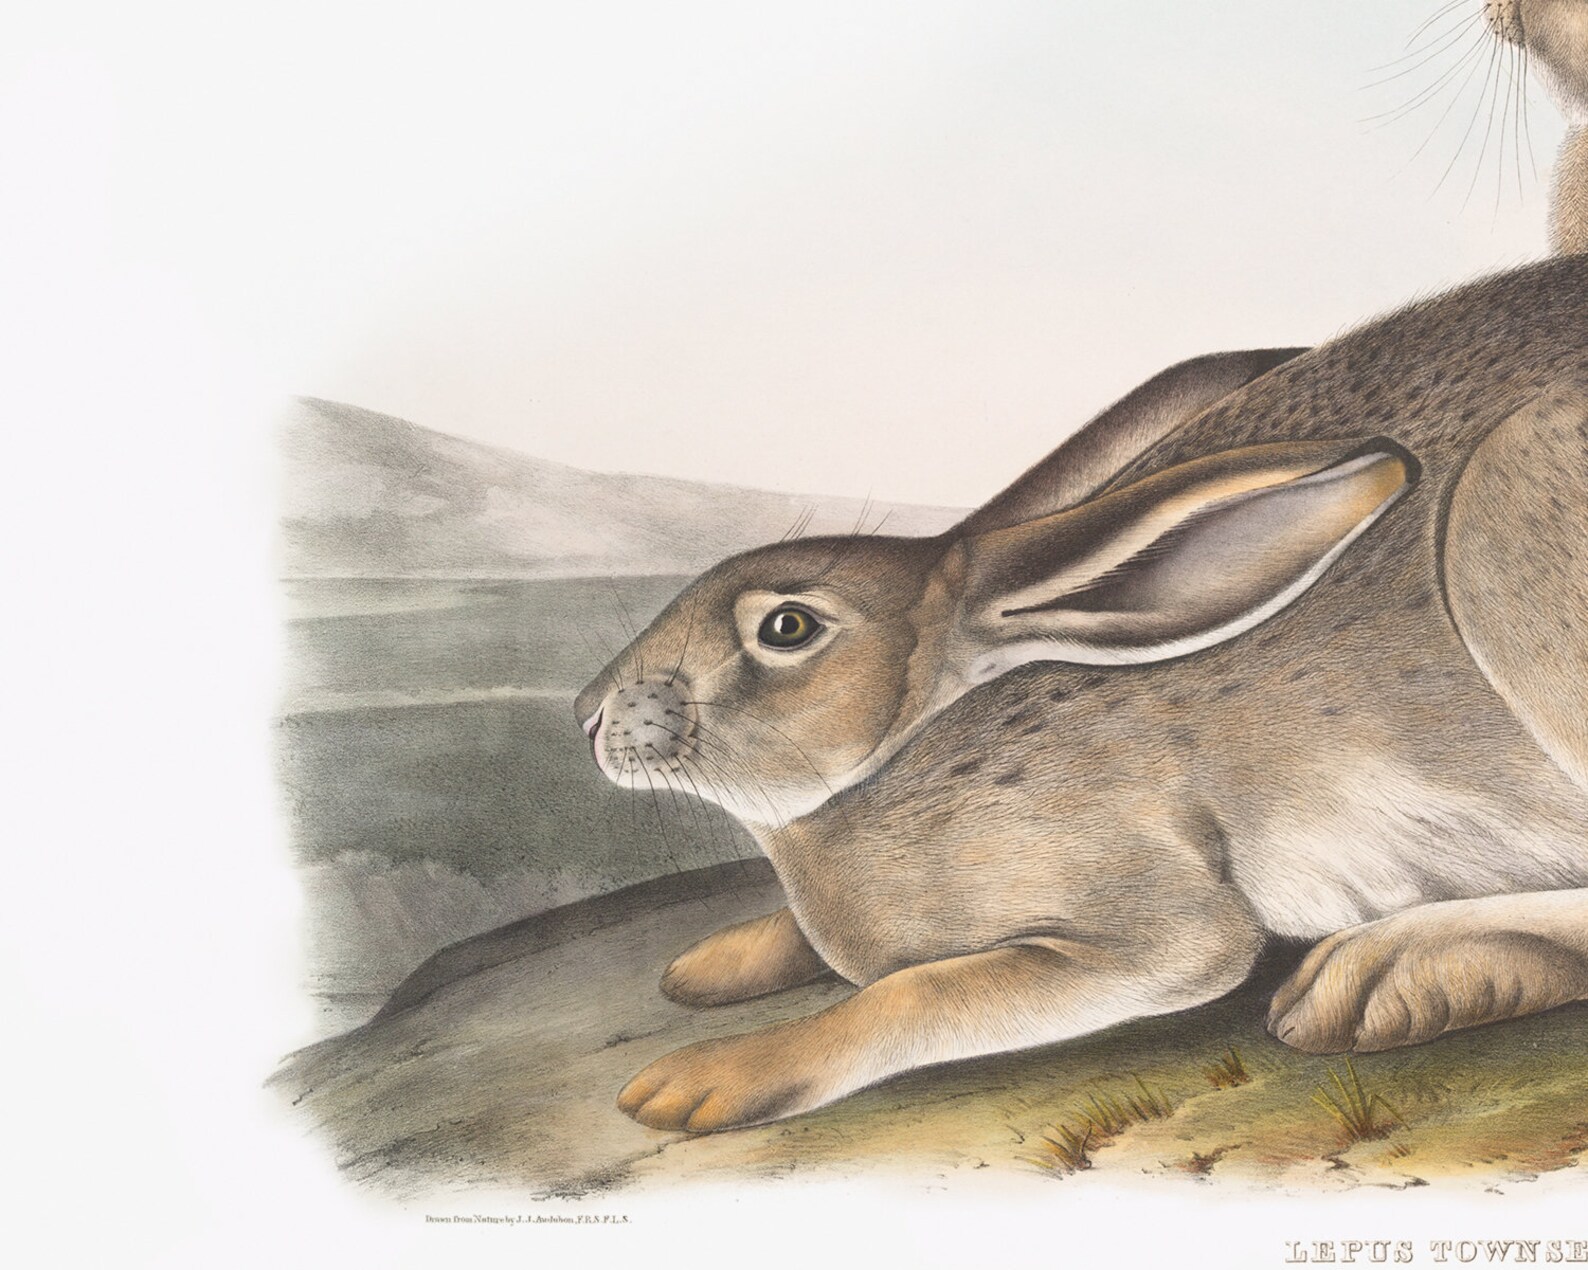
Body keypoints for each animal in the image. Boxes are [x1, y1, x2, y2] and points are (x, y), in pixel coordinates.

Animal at [574, 254, 1588, 1133]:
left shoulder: (1156, 921)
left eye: (787, 628)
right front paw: (708, 963)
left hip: (1509, 515)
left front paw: (698, 1083)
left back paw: (1386, 973)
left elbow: (918, 992)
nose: (586, 713)